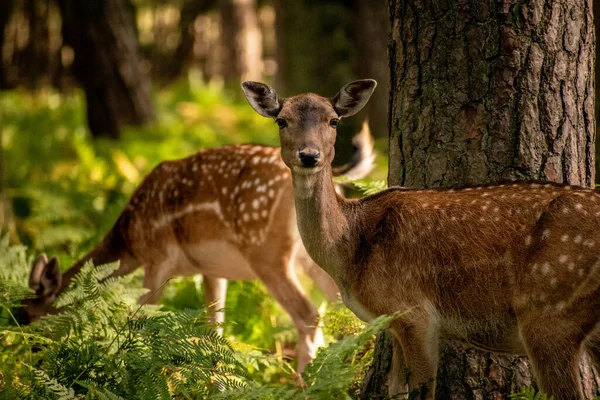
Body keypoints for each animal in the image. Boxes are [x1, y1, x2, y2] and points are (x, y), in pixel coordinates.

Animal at [17, 125, 376, 372]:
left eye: (31, 317)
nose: (26, 360)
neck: (129, 238)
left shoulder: (157, 258)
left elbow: (142, 319)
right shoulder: (211, 270)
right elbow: (213, 328)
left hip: (266, 250)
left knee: (309, 314)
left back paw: (304, 380)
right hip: (310, 253)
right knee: (342, 305)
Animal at [241, 78, 600, 400]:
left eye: (333, 120)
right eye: (282, 120)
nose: (309, 155)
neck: (351, 254)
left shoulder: (415, 312)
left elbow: (421, 391)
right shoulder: (394, 322)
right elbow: (395, 390)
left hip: (549, 309)